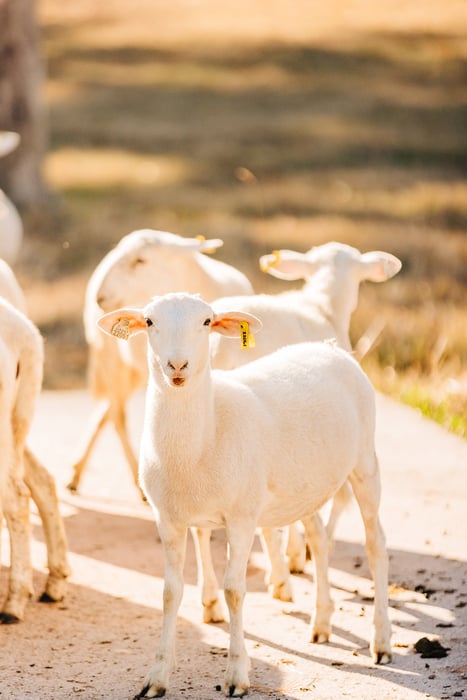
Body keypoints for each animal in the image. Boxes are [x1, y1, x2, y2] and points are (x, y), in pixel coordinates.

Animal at [67, 227, 254, 494]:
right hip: (111, 357)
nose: (100, 298)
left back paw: (77, 471)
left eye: (140, 261)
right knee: (117, 415)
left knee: (108, 411)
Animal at [100, 294, 394, 700]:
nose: (177, 365)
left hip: (365, 462)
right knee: (319, 540)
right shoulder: (169, 518)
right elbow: (170, 592)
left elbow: (235, 591)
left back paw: (381, 641)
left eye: (206, 322)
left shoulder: (240, 518)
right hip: (307, 485)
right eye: (149, 321)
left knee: (375, 544)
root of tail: (331, 348)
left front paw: (237, 676)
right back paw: (321, 623)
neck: (204, 433)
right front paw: (156, 677)